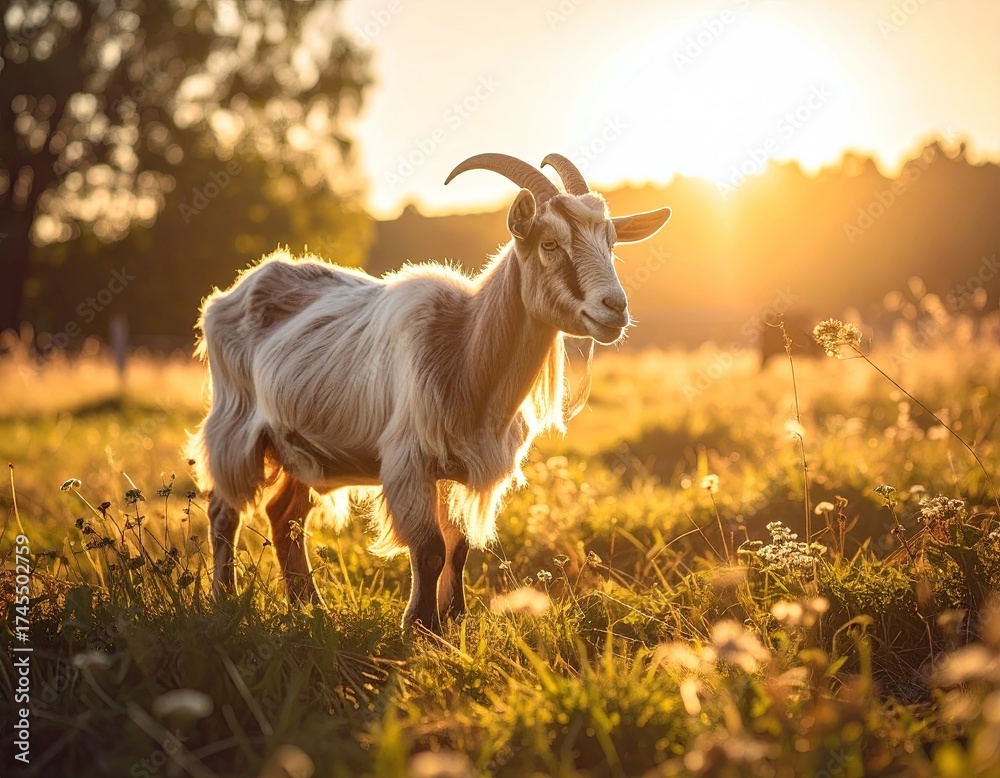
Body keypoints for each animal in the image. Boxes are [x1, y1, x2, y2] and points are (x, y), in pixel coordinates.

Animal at [189, 153, 672, 632]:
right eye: (549, 244)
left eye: (611, 243)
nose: (614, 308)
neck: (466, 351)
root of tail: (227, 296)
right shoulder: (409, 461)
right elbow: (430, 551)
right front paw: (419, 626)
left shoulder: (459, 467)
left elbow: (458, 549)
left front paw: (452, 622)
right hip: (234, 427)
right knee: (224, 513)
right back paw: (226, 600)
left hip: (301, 447)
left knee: (284, 517)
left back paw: (310, 608)